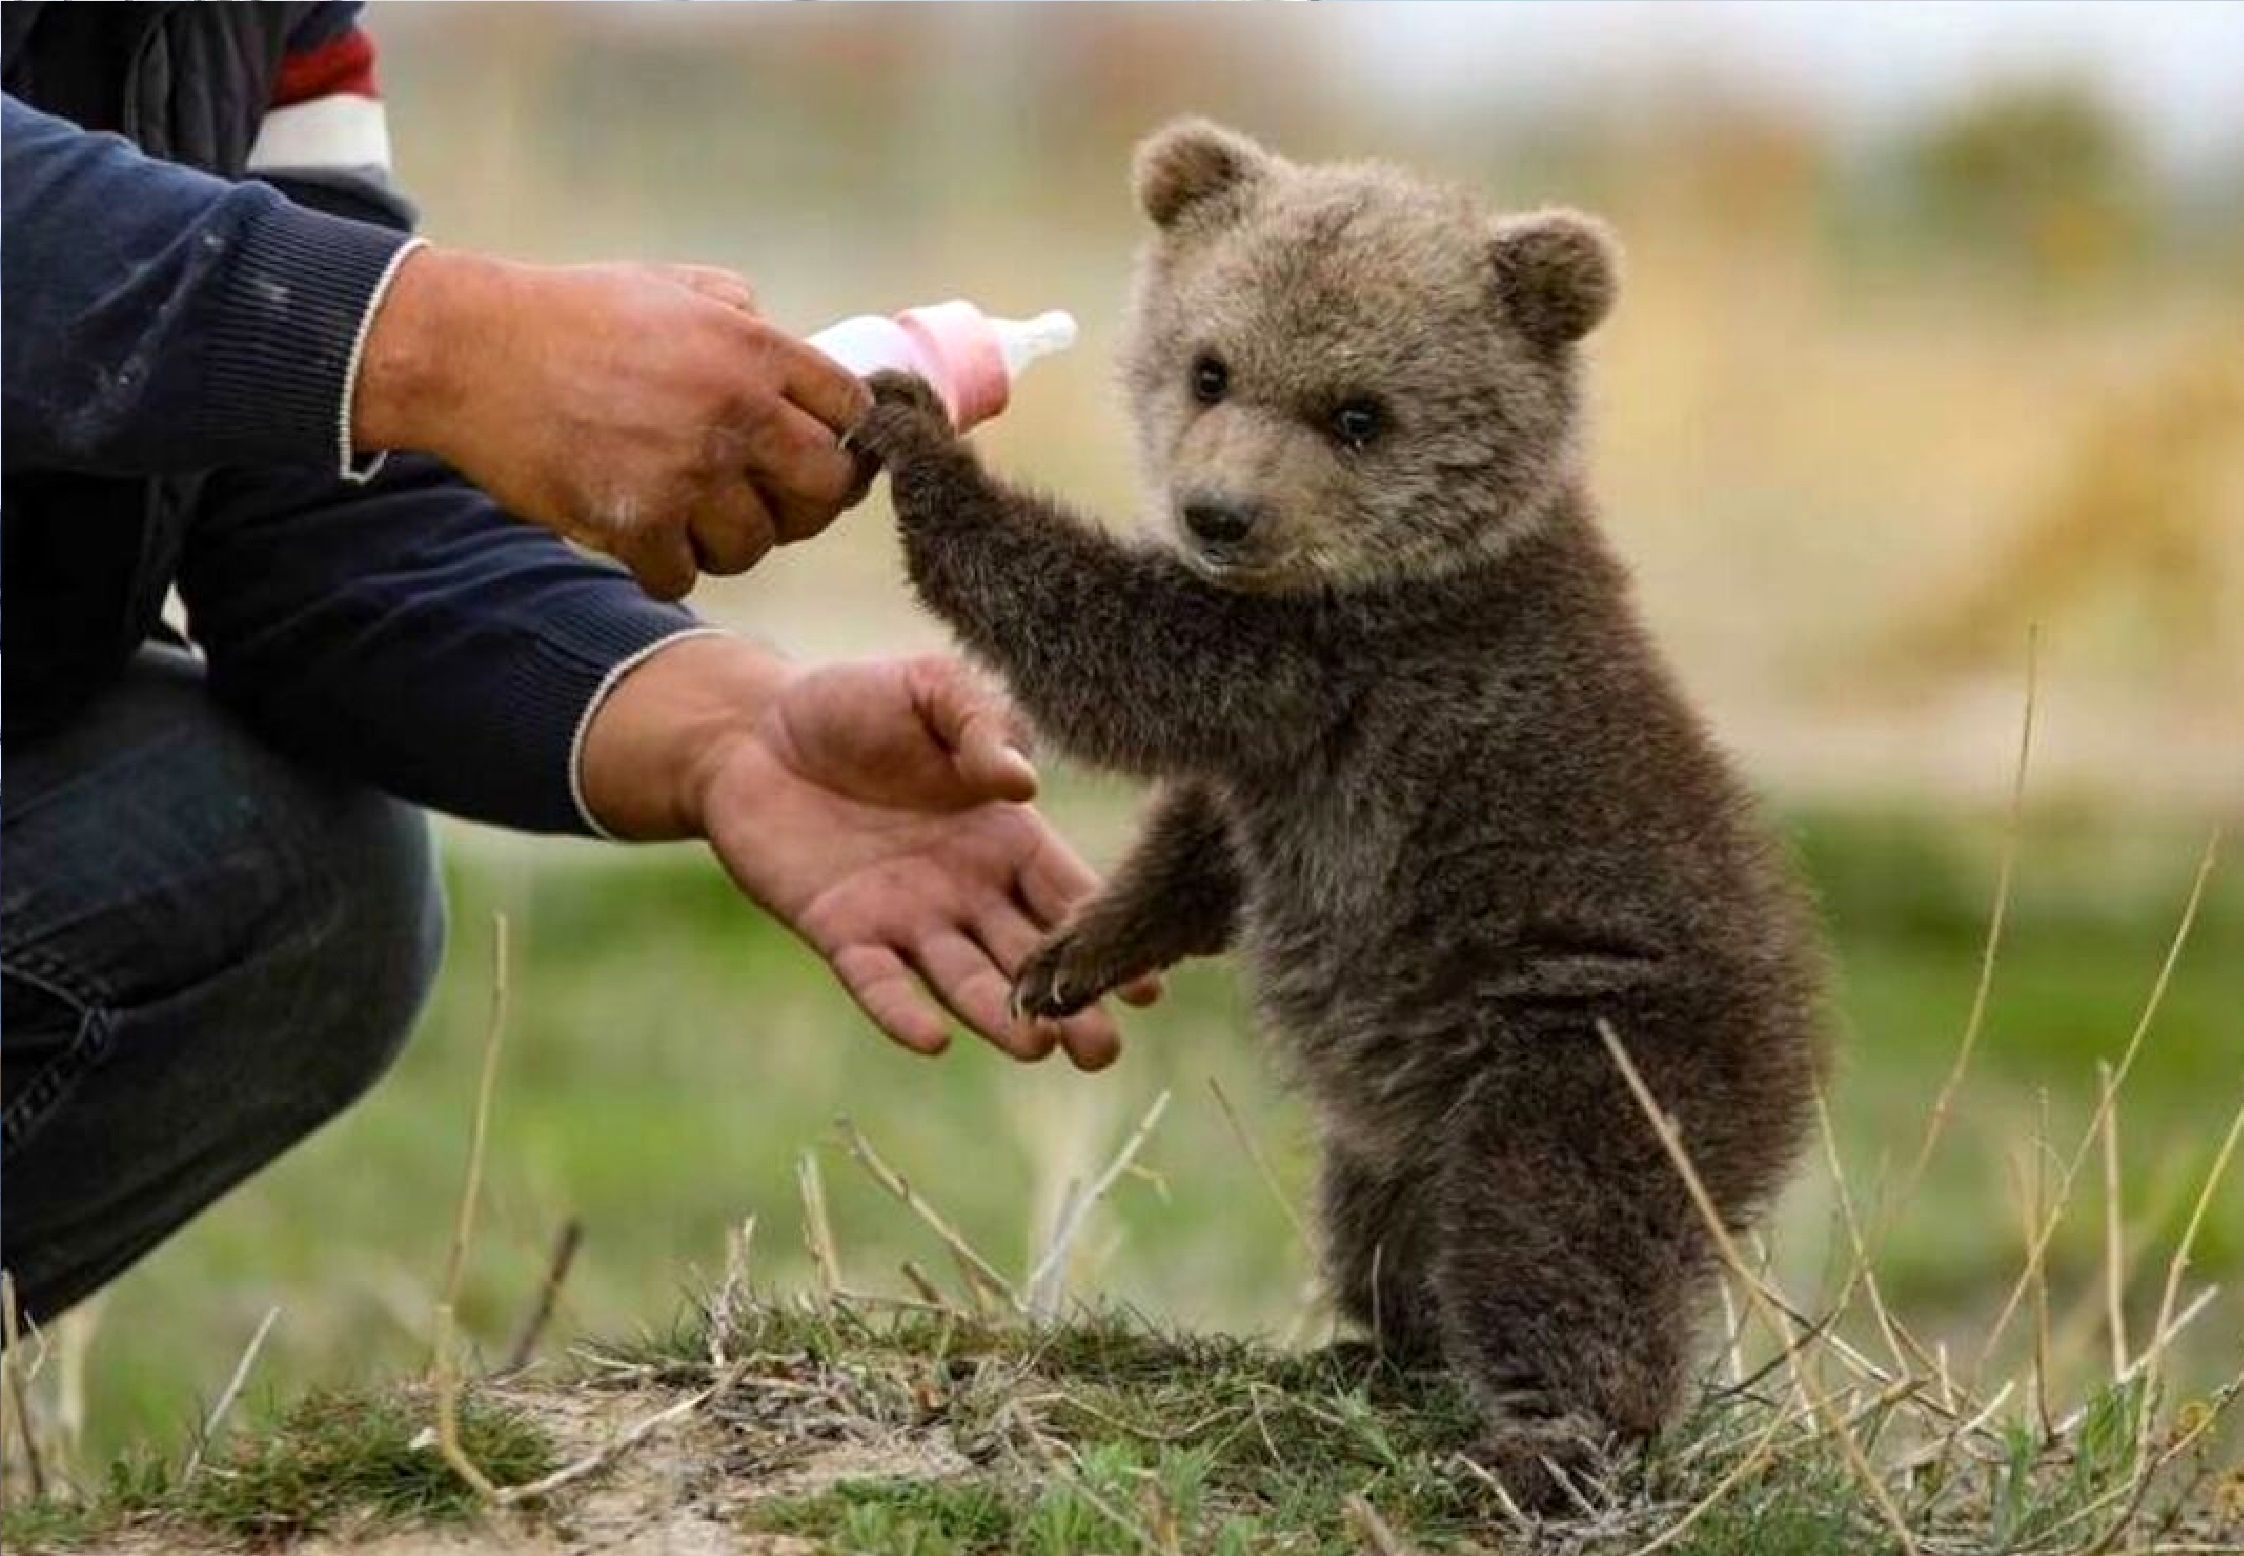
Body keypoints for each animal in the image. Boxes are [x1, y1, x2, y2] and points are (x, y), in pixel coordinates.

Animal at [847, 117, 1829, 1508]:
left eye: (1358, 411)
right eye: (1211, 367)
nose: (1219, 512)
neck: (1368, 574)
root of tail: (1796, 1068)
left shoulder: (1337, 659)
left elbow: (1117, 653)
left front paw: (919, 433)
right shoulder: (1289, 761)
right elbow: (1203, 841)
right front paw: (1072, 952)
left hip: (1597, 1048)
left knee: (1555, 1236)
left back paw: (1548, 1442)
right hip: (1404, 1127)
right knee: (1386, 1224)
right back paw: (1374, 1349)